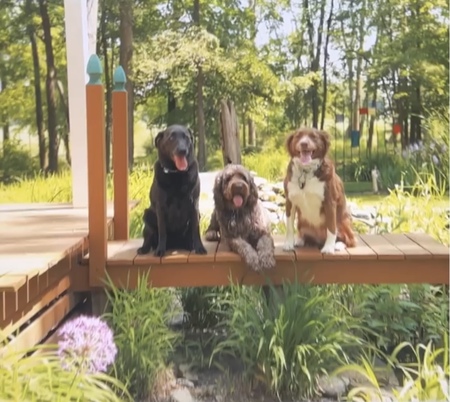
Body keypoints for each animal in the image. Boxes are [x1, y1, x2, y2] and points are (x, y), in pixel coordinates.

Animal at [137, 125, 207, 258]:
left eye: (186, 137)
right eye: (171, 138)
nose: (182, 150)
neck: (177, 173)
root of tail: (174, 244)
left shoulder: (194, 205)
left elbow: (195, 230)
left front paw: (199, 247)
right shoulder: (160, 207)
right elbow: (162, 231)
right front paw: (160, 250)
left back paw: (190, 245)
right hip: (147, 215)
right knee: (148, 236)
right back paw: (144, 248)